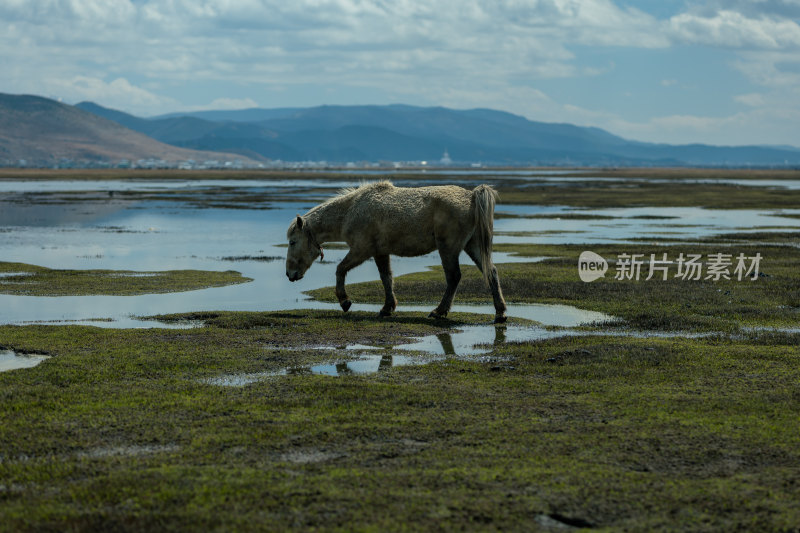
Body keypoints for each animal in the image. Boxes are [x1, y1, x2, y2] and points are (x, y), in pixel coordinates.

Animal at [286, 181, 506, 322]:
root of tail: (471, 196)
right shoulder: (380, 252)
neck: (351, 211)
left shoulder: (361, 250)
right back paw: (500, 313)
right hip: (473, 246)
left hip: (448, 249)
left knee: (453, 277)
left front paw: (345, 301)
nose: (290, 274)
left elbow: (340, 269)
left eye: (293, 242)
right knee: (491, 272)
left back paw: (439, 311)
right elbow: (386, 278)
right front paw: (387, 308)